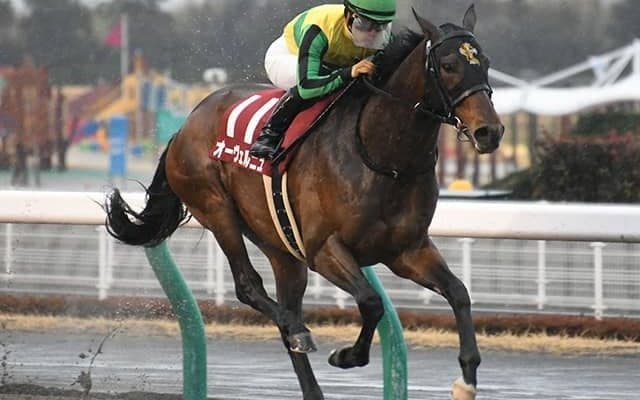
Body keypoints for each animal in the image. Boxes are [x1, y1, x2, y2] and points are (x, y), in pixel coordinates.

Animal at [105, 5, 503, 400]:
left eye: (484, 62)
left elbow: (458, 292)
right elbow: (371, 302)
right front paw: (346, 355)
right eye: (448, 65)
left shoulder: (408, 250)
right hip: (216, 208)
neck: (382, 157)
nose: (490, 132)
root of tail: (183, 127)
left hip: (281, 247)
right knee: (250, 286)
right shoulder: (323, 249)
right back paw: (297, 330)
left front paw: (467, 378)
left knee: (285, 303)